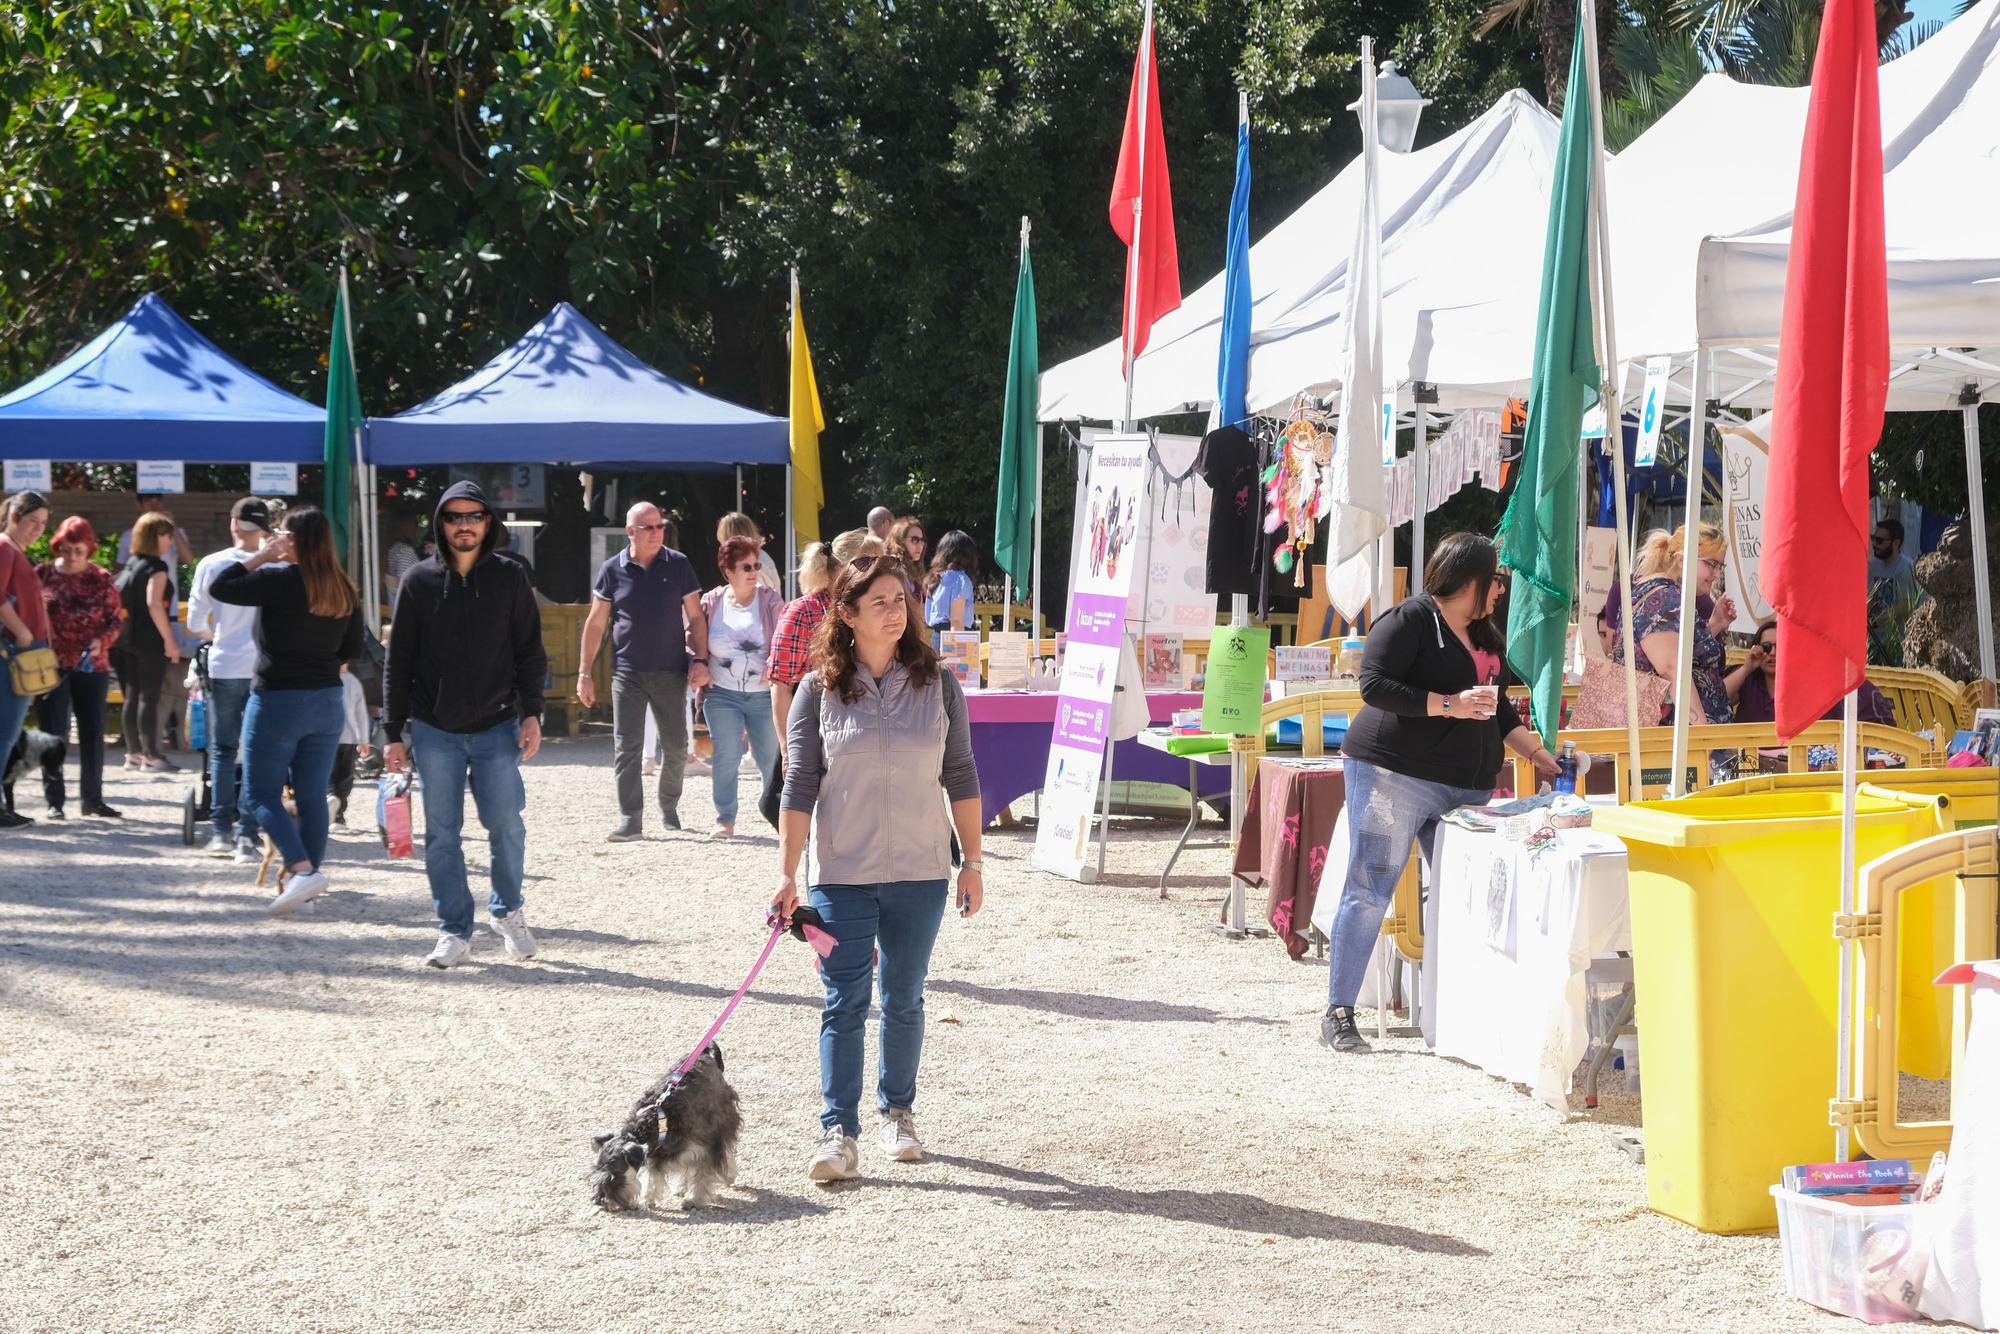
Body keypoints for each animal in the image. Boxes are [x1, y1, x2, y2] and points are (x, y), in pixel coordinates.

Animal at [600, 1048, 752, 1216]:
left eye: (613, 1178)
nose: (604, 1203)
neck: (658, 1119)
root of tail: (704, 1054)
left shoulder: (706, 1148)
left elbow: (702, 1176)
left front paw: (694, 1200)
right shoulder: (656, 1153)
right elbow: (653, 1177)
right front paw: (647, 1200)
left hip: (723, 1122)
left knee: (726, 1151)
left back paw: (729, 1175)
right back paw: (681, 1187)